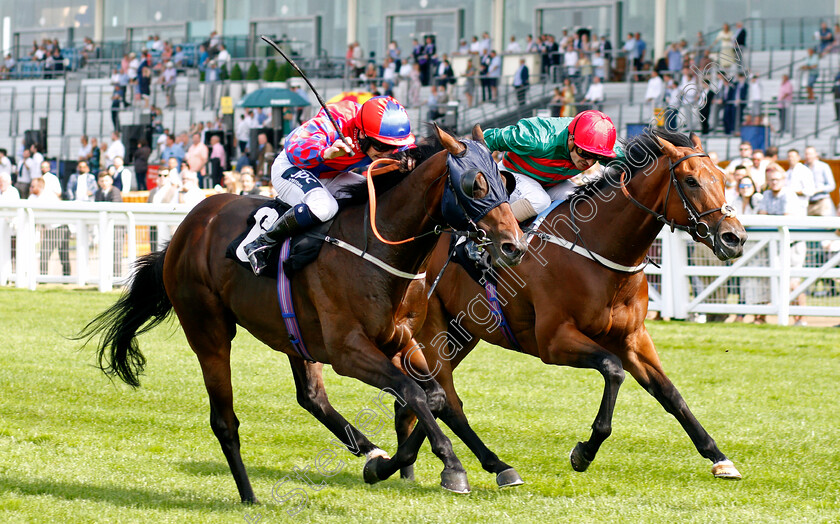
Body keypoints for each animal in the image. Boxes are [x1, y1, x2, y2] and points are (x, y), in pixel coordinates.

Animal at [77, 127, 524, 504]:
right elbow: (414, 393)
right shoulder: (348, 351)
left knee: (311, 397)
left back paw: (368, 449)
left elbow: (434, 396)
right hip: (209, 332)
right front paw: (452, 467)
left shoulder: (401, 339)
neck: (378, 248)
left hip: (295, 336)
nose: (513, 245)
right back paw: (249, 496)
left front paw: (387, 465)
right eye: (476, 184)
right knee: (224, 421)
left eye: (505, 180)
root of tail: (186, 228)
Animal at [390, 129, 752, 486]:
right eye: (691, 181)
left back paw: (407, 464)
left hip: (460, 334)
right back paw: (473, 466)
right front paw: (585, 451)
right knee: (447, 399)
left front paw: (719, 458)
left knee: (426, 397)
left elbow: (670, 394)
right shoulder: (554, 340)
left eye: (722, 177)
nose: (735, 238)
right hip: (432, 328)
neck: (598, 249)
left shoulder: (633, 339)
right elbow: (613, 370)